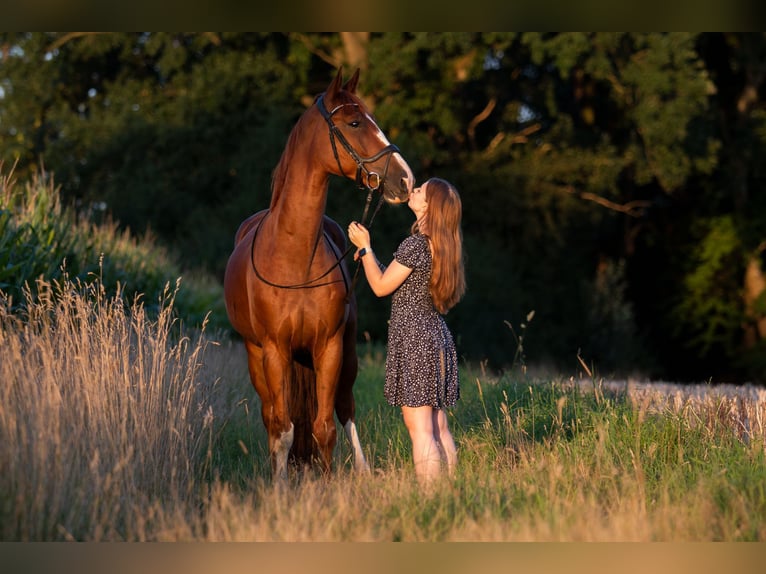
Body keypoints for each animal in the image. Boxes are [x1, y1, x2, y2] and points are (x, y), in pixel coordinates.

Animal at [224, 68, 414, 482]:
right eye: (355, 122)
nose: (405, 180)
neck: (294, 256)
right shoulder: (275, 351)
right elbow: (283, 430)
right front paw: (280, 487)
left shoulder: (329, 347)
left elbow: (324, 427)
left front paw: (327, 486)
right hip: (257, 357)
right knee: (271, 418)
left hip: (345, 355)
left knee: (344, 408)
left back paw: (360, 469)